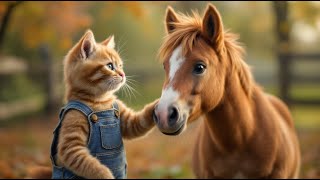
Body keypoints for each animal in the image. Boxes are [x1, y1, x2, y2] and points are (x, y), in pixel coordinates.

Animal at [49, 29, 158, 179]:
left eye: (120, 66)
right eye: (110, 66)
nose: (123, 74)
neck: (100, 102)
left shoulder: (125, 118)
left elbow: (138, 123)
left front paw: (157, 105)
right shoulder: (71, 146)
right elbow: (91, 165)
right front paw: (106, 175)